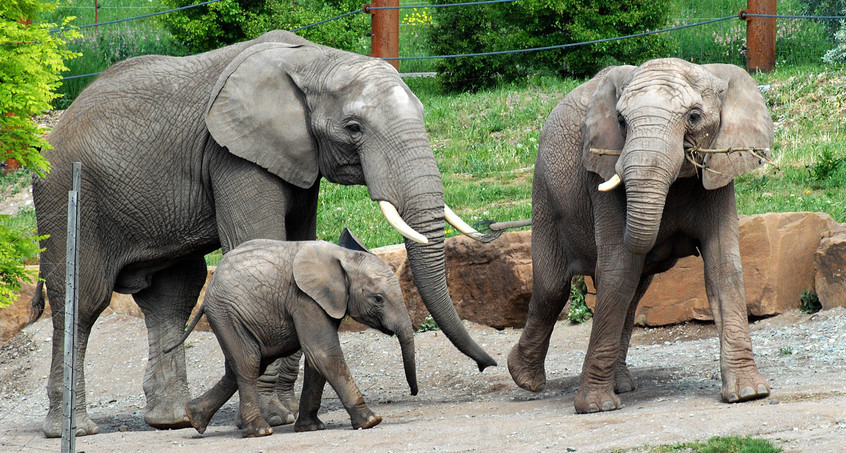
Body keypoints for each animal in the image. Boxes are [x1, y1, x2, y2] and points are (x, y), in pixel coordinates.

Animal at [162, 235, 418, 436]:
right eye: (378, 299)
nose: (414, 392)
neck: (343, 256)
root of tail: (206, 296)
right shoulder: (304, 299)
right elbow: (323, 353)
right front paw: (371, 421)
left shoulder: (321, 302)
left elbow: (316, 360)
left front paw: (310, 428)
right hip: (226, 313)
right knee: (248, 363)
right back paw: (260, 431)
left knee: (246, 365)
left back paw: (194, 417)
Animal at [506, 58, 780, 412]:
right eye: (621, 121)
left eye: (694, 116)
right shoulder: (602, 174)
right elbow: (618, 268)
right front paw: (596, 408)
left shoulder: (719, 170)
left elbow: (723, 267)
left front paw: (749, 393)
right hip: (544, 192)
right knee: (553, 288)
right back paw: (524, 378)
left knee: (632, 294)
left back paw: (621, 385)